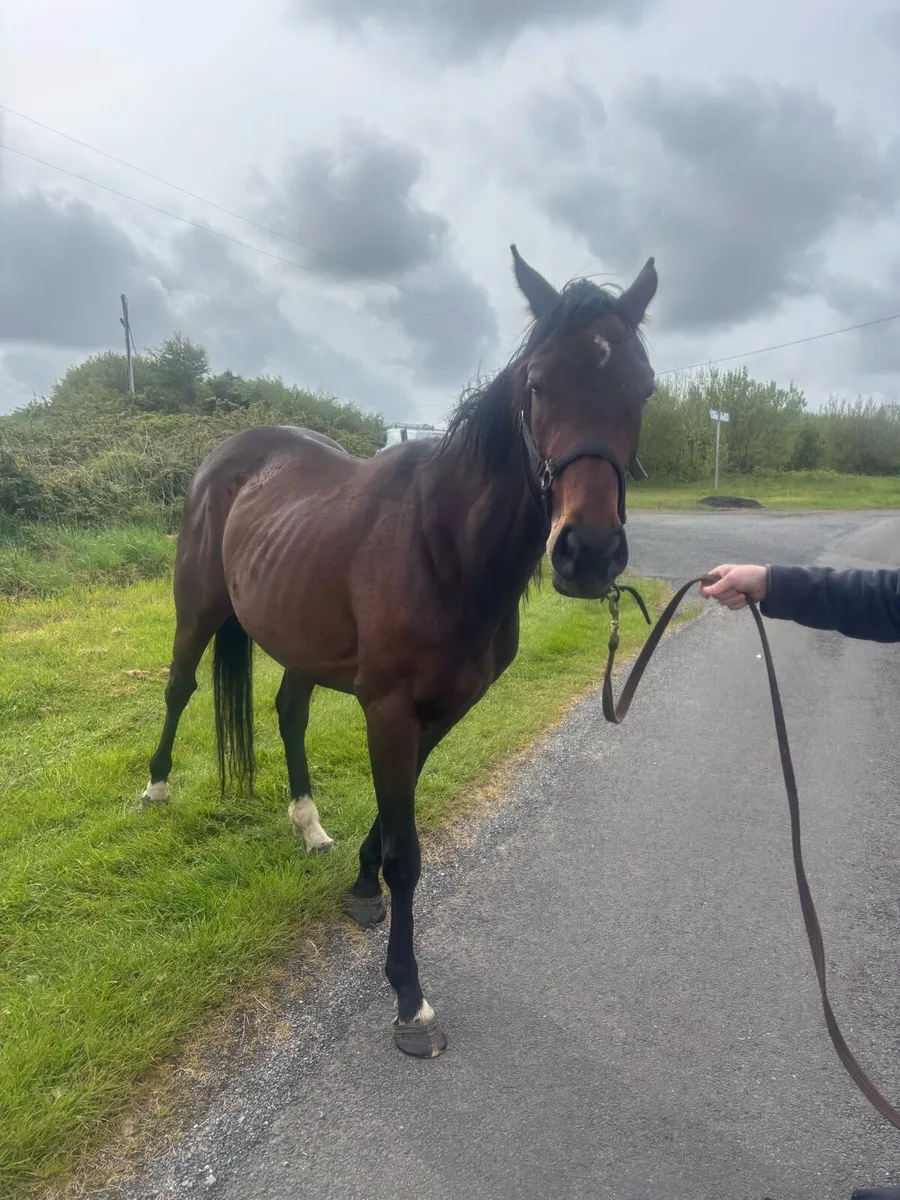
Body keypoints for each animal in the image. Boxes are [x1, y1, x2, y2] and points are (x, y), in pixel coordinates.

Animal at [141, 245, 658, 1057]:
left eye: (643, 388)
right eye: (538, 384)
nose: (589, 553)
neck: (443, 545)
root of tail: (226, 456)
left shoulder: (443, 710)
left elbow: (395, 819)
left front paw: (359, 888)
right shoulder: (388, 711)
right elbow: (406, 853)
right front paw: (409, 999)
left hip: (300, 643)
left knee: (288, 712)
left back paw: (309, 825)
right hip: (196, 612)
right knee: (178, 689)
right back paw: (156, 788)